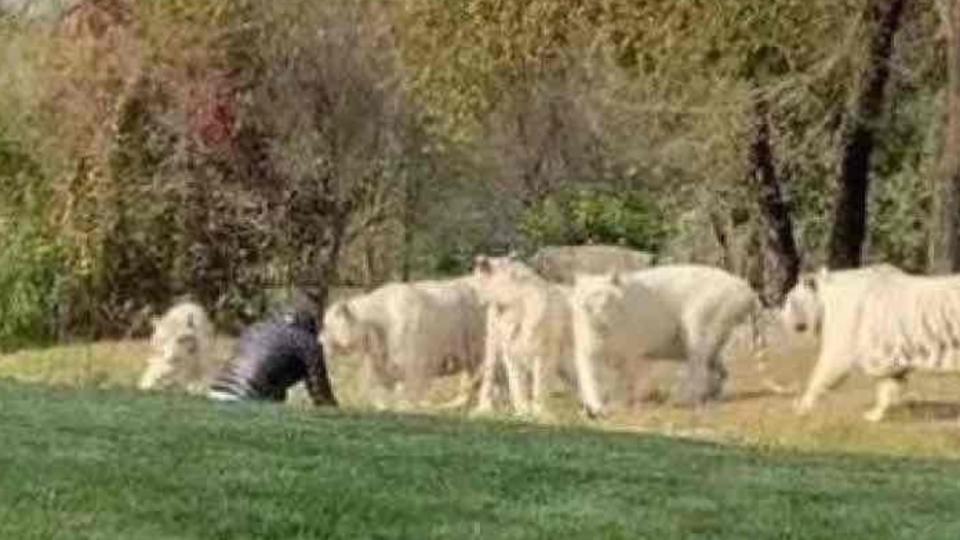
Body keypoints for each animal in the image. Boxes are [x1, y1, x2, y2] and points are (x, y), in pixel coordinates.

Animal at [322, 278, 488, 410]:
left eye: (326, 324)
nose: (320, 340)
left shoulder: (416, 358)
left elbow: (411, 386)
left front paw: (407, 406)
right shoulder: (382, 357)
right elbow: (380, 386)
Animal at [568, 264, 764, 416]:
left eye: (606, 299)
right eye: (586, 300)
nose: (597, 317)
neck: (603, 330)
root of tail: (747, 289)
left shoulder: (631, 349)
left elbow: (625, 376)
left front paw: (619, 403)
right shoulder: (587, 346)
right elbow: (589, 375)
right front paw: (596, 407)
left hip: (700, 319)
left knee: (698, 362)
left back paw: (682, 399)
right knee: (717, 366)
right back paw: (712, 394)